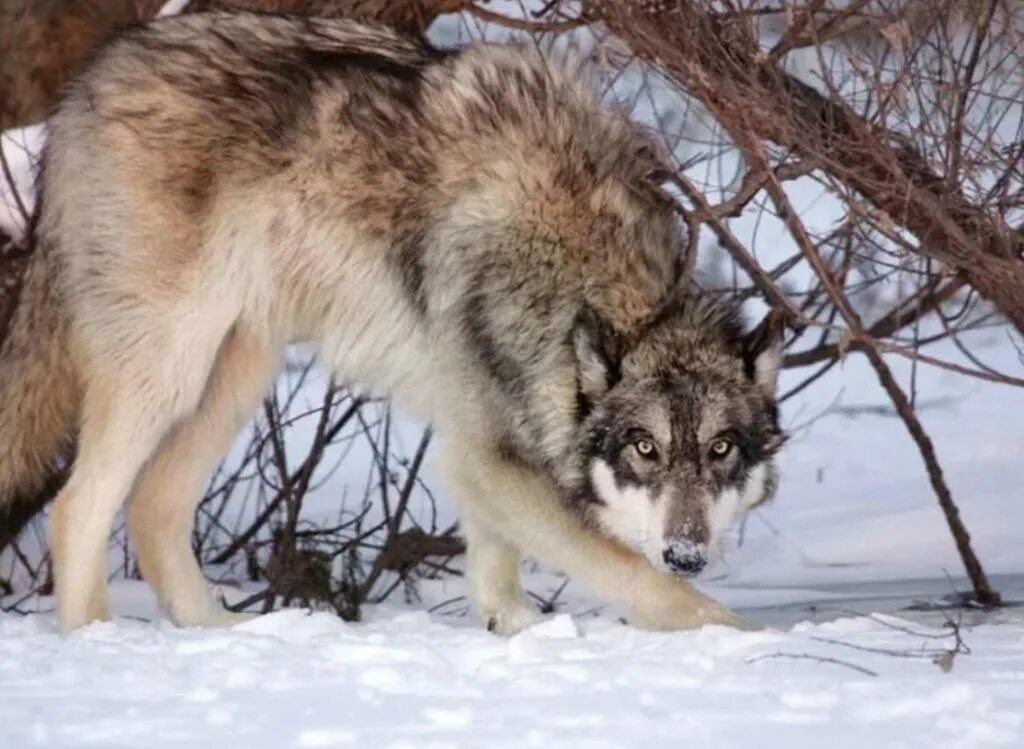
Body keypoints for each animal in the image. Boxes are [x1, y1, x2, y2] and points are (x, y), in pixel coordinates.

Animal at [0, 10, 782, 631]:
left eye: (721, 450)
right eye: (645, 449)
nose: (688, 551)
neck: (582, 263)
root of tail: (84, 88)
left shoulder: (481, 452)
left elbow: (499, 571)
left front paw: (514, 631)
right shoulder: (488, 455)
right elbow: (653, 587)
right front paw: (745, 645)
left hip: (237, 373)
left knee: (153, 507)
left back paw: (221, 637)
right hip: (167, 371)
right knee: (77, 507)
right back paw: (97, 640)